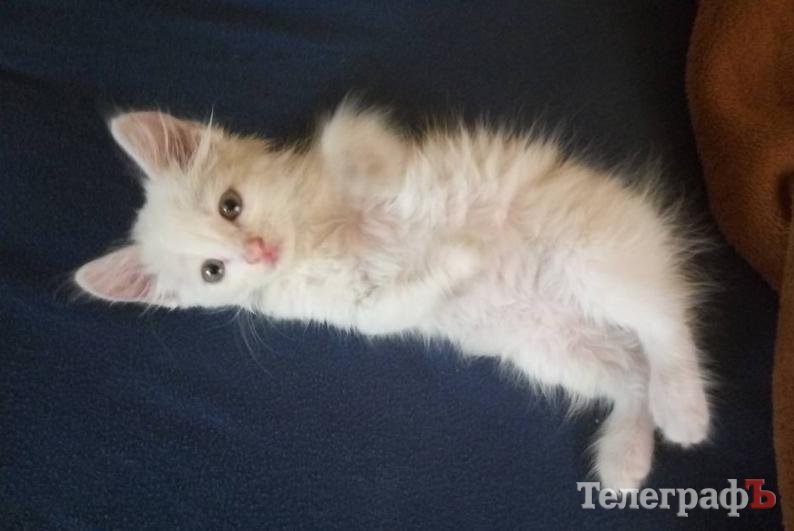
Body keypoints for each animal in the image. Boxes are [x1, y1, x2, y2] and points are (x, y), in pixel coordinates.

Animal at [74, 102, 711, 491]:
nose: (259, 252)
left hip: (590, 262)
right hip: (552, 347)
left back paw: (684, 409)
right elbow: (394, 306)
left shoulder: (360, 147)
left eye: (231, 205)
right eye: (213, 271)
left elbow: (352, 145)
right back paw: (628, 456)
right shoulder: (362, 309)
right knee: (634, 376)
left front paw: (370, 185)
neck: (312, 238)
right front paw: (461, 258)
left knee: (668, 327)